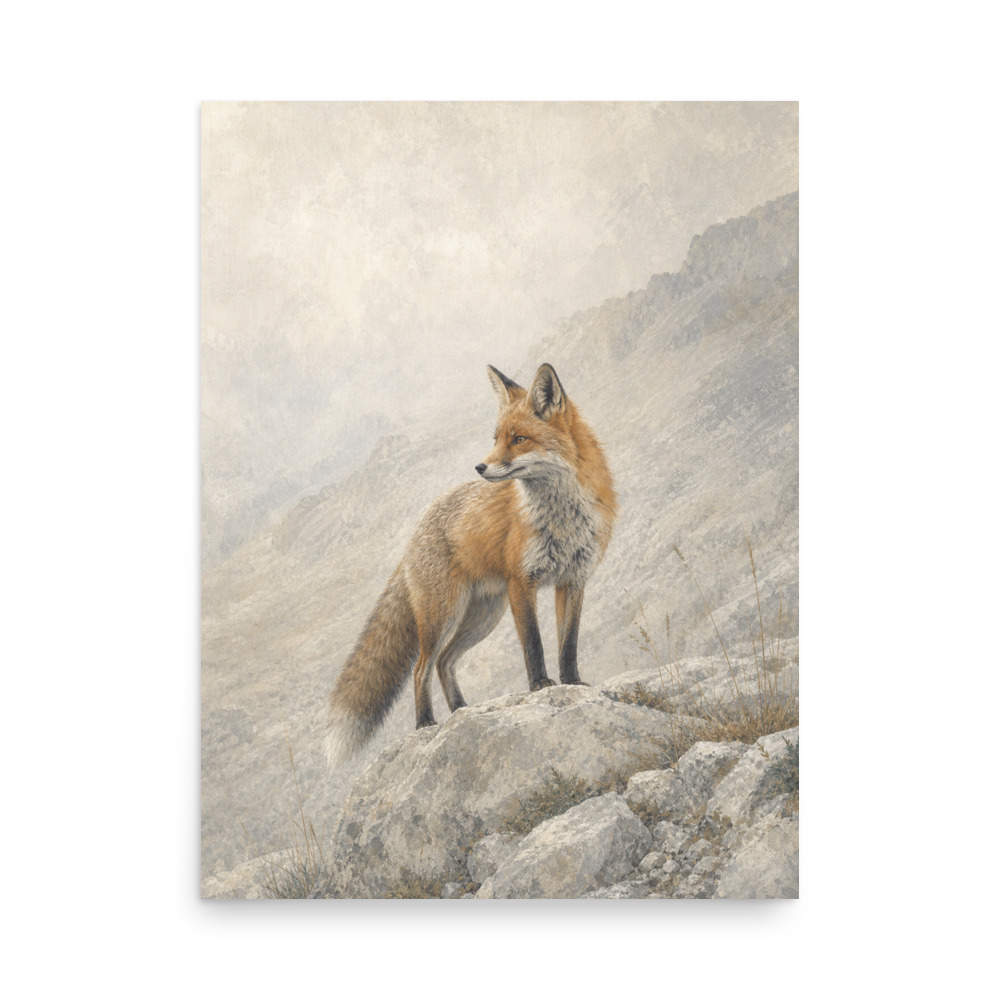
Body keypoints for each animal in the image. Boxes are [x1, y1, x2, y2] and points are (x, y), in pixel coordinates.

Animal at [324, 362, 618, 765]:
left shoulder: (573, 579)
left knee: (445, 662)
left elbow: (568, 642)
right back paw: (426, 723)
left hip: (482, 616)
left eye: (519, 439)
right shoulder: (521, 582)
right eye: (496, 438)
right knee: (421, 668)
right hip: (443, 614)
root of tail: (414, 534)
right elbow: (534, 643)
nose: (480, 466)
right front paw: (540, 685)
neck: (561, 516)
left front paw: (573, 682)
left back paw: (461, 709)